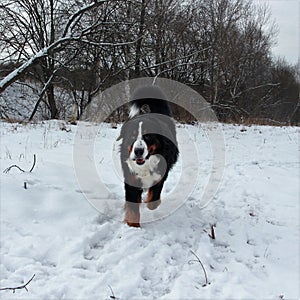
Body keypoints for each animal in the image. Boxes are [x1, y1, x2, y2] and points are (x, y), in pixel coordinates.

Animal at [118, 86, 178, 227]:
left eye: (148, 136)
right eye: (132, 136)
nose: (138, 151)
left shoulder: (160, 177)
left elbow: (153, 201)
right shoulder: (131, 177)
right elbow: (133, 206)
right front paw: (133, 226)